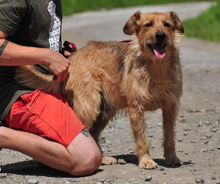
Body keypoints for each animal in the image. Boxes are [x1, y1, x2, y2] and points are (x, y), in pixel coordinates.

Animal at [15, 11, 184, 170]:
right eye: (148, 24)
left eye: (167, 25)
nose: (160, 35)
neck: (156, 67)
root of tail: (70, 60)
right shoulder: (136, 108)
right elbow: (142, 138)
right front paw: (146, 161)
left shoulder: (170, 107)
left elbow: (169, 136)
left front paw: (171, 158)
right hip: (88, 107)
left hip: (104, 110)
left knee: (94, 135)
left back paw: (102, 158)